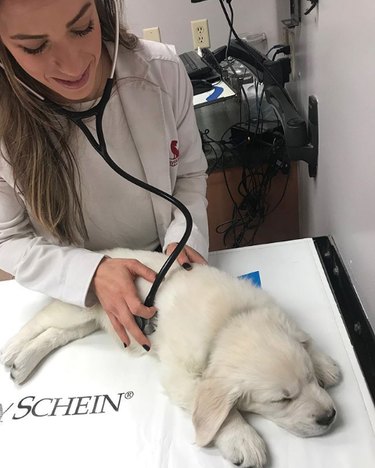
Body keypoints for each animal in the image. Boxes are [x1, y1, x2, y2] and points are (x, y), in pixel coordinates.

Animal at [0, 249, 340, 468]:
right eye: (280, 400)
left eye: (310, 379)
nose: (330, 416)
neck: (228, 321)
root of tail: (104, 254)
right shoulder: (180, 375)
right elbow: (219, 413)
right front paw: (242, 439)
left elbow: (305, 338)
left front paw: (325, 364)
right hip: (78, 310)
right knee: (40, 323)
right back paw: (11, 350)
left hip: (96, 323)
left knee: (54, 334)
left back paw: (22, 363)